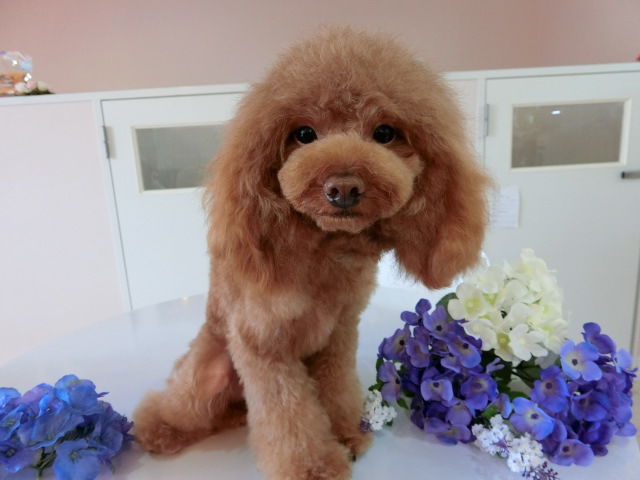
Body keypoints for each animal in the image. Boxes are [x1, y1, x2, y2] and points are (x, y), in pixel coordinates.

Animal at [134, 27, 491, 480]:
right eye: (303, 134)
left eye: (385, 133)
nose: (344, 187)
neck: (325, 252)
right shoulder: (262, 345)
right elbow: (288, 416)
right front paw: (313, 466)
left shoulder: (338, 334)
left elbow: (334, 390)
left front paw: (347, 434)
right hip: (206, 370)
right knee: (177, 405)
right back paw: (158, 430)